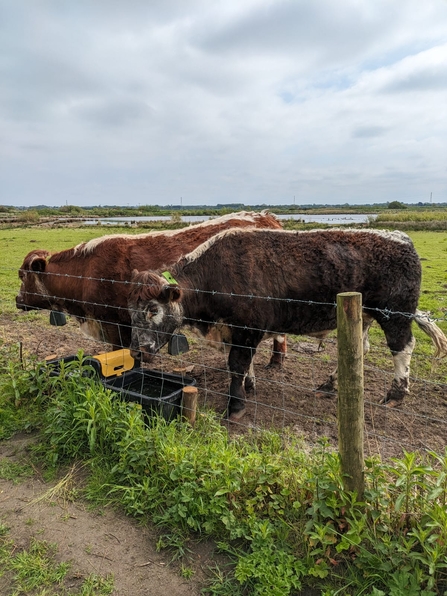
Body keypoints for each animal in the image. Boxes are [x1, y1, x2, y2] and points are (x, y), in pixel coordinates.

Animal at [16, 210, 288, 368]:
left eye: (22, 275)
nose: (17, 299)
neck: (86, 271)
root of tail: (266, 216)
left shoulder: (113, 324)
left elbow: (121, 353)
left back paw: (275, 362)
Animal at [128, 227, 447, 420]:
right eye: (130, 310)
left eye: (153, 310)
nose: (137, 349)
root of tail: (400, 238)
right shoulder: (232, 331)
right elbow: (243, 363)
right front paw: (249, 385)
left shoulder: (248, 329)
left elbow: (237, 363)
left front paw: (236, 405)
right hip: (363, 316)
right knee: (362, 349)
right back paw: (329, 384)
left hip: (395, 314)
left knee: (402, 347)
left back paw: (395, 394)